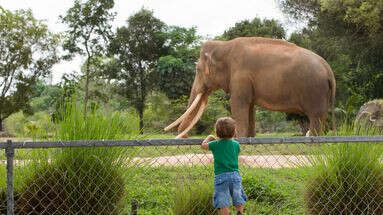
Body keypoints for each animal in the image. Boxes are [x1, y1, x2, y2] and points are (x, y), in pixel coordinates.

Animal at [165, 37, 336, 138]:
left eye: (197, 70)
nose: (184, 137)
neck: (224, 45)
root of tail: (328, 69)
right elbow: (249, 108)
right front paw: (250, 139)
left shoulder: (240, 76)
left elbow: (238, 104)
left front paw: (239, 139)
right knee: (321, 117)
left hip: (314, 91)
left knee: (315, 116)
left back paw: (312, 139)